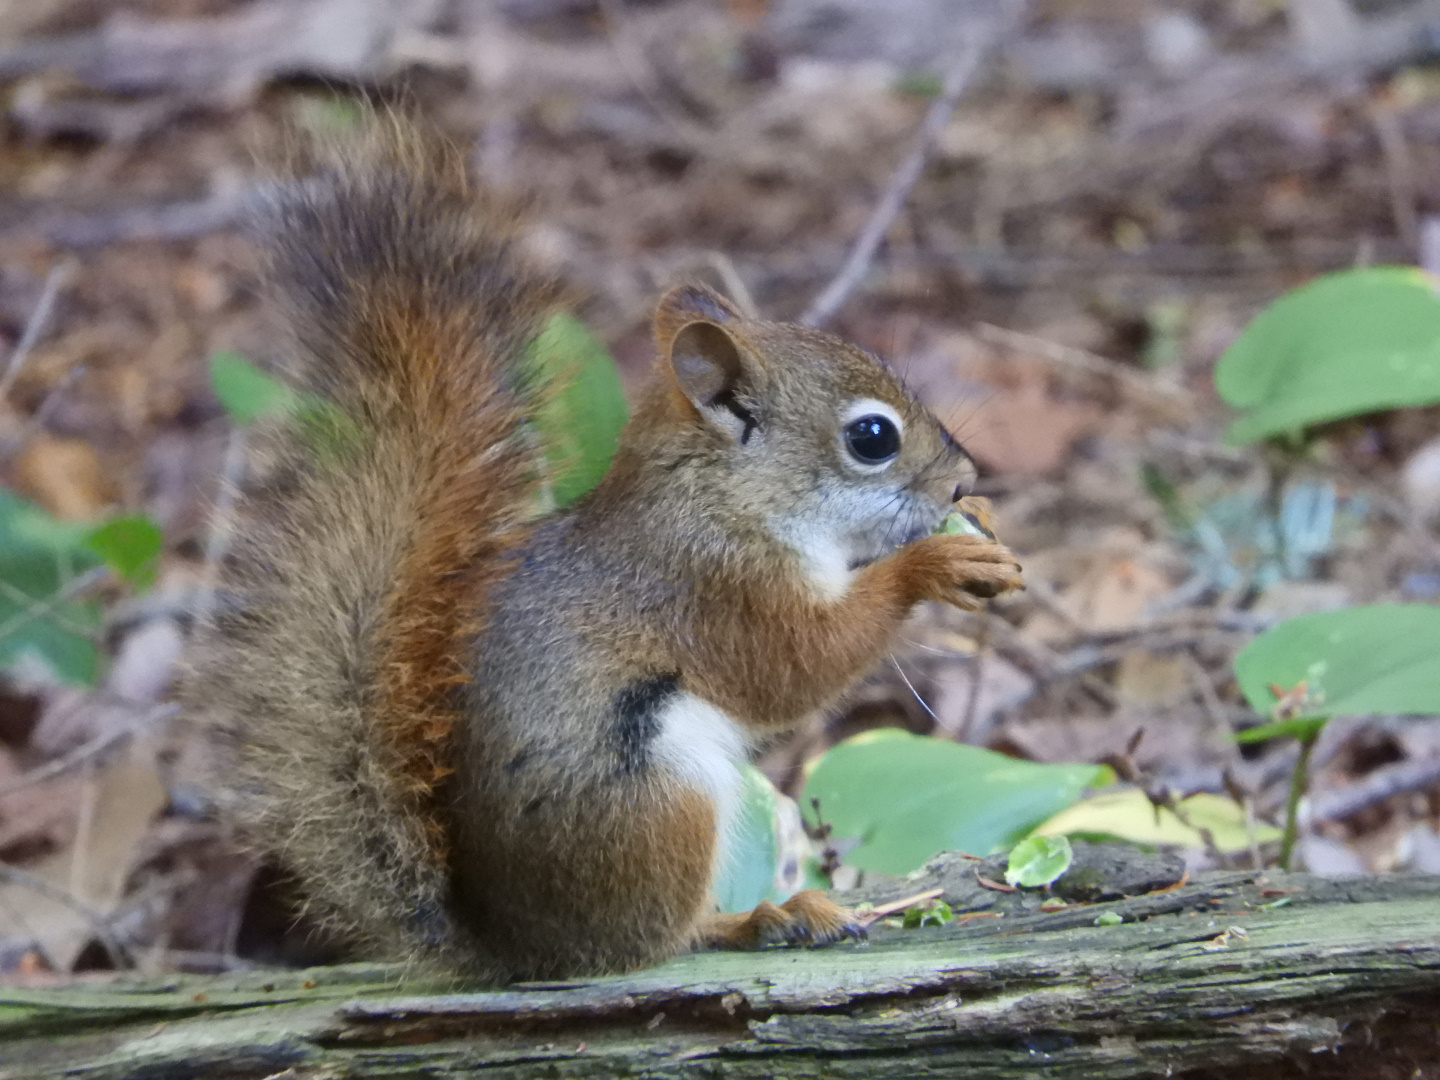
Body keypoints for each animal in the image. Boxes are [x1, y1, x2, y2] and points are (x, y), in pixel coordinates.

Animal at [181, 115, 1025, 982]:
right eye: (872, 438)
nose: (963, 480)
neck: (719, 494)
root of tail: (519, 952)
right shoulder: (709, 583)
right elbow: (793, 665)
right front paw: (936, 564)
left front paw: (980, 522)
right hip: (659, 796)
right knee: (652, 943)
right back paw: (765, 916)